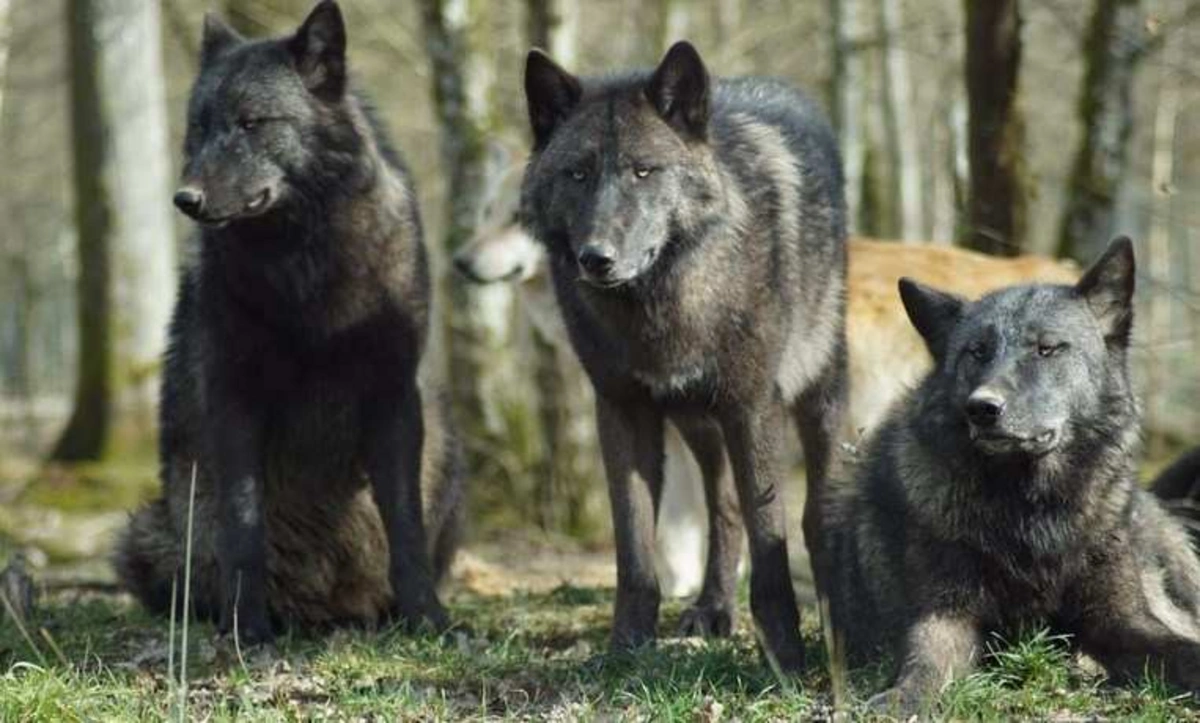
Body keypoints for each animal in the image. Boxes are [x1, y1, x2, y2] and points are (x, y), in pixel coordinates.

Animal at [520, 40, 849, 667]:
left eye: (643, 171)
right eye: (577, 173)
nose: (596, 258)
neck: (663, 305)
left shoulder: (752, 408)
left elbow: (770, 535)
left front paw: (785, 654)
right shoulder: (622, 410)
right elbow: (633, 546)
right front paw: (626, 648)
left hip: (816, 397)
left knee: (815, 509)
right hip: (697, 421)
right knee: (723, 508)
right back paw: (713, 608)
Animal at [830, 238, 1200, 710]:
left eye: (1047, 348)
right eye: (976, 351)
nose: (982, 408)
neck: (1031, 513)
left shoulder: (1123, 621)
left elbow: (1182, 649)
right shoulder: (946, 614)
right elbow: (924, 664)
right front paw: (901, 700)